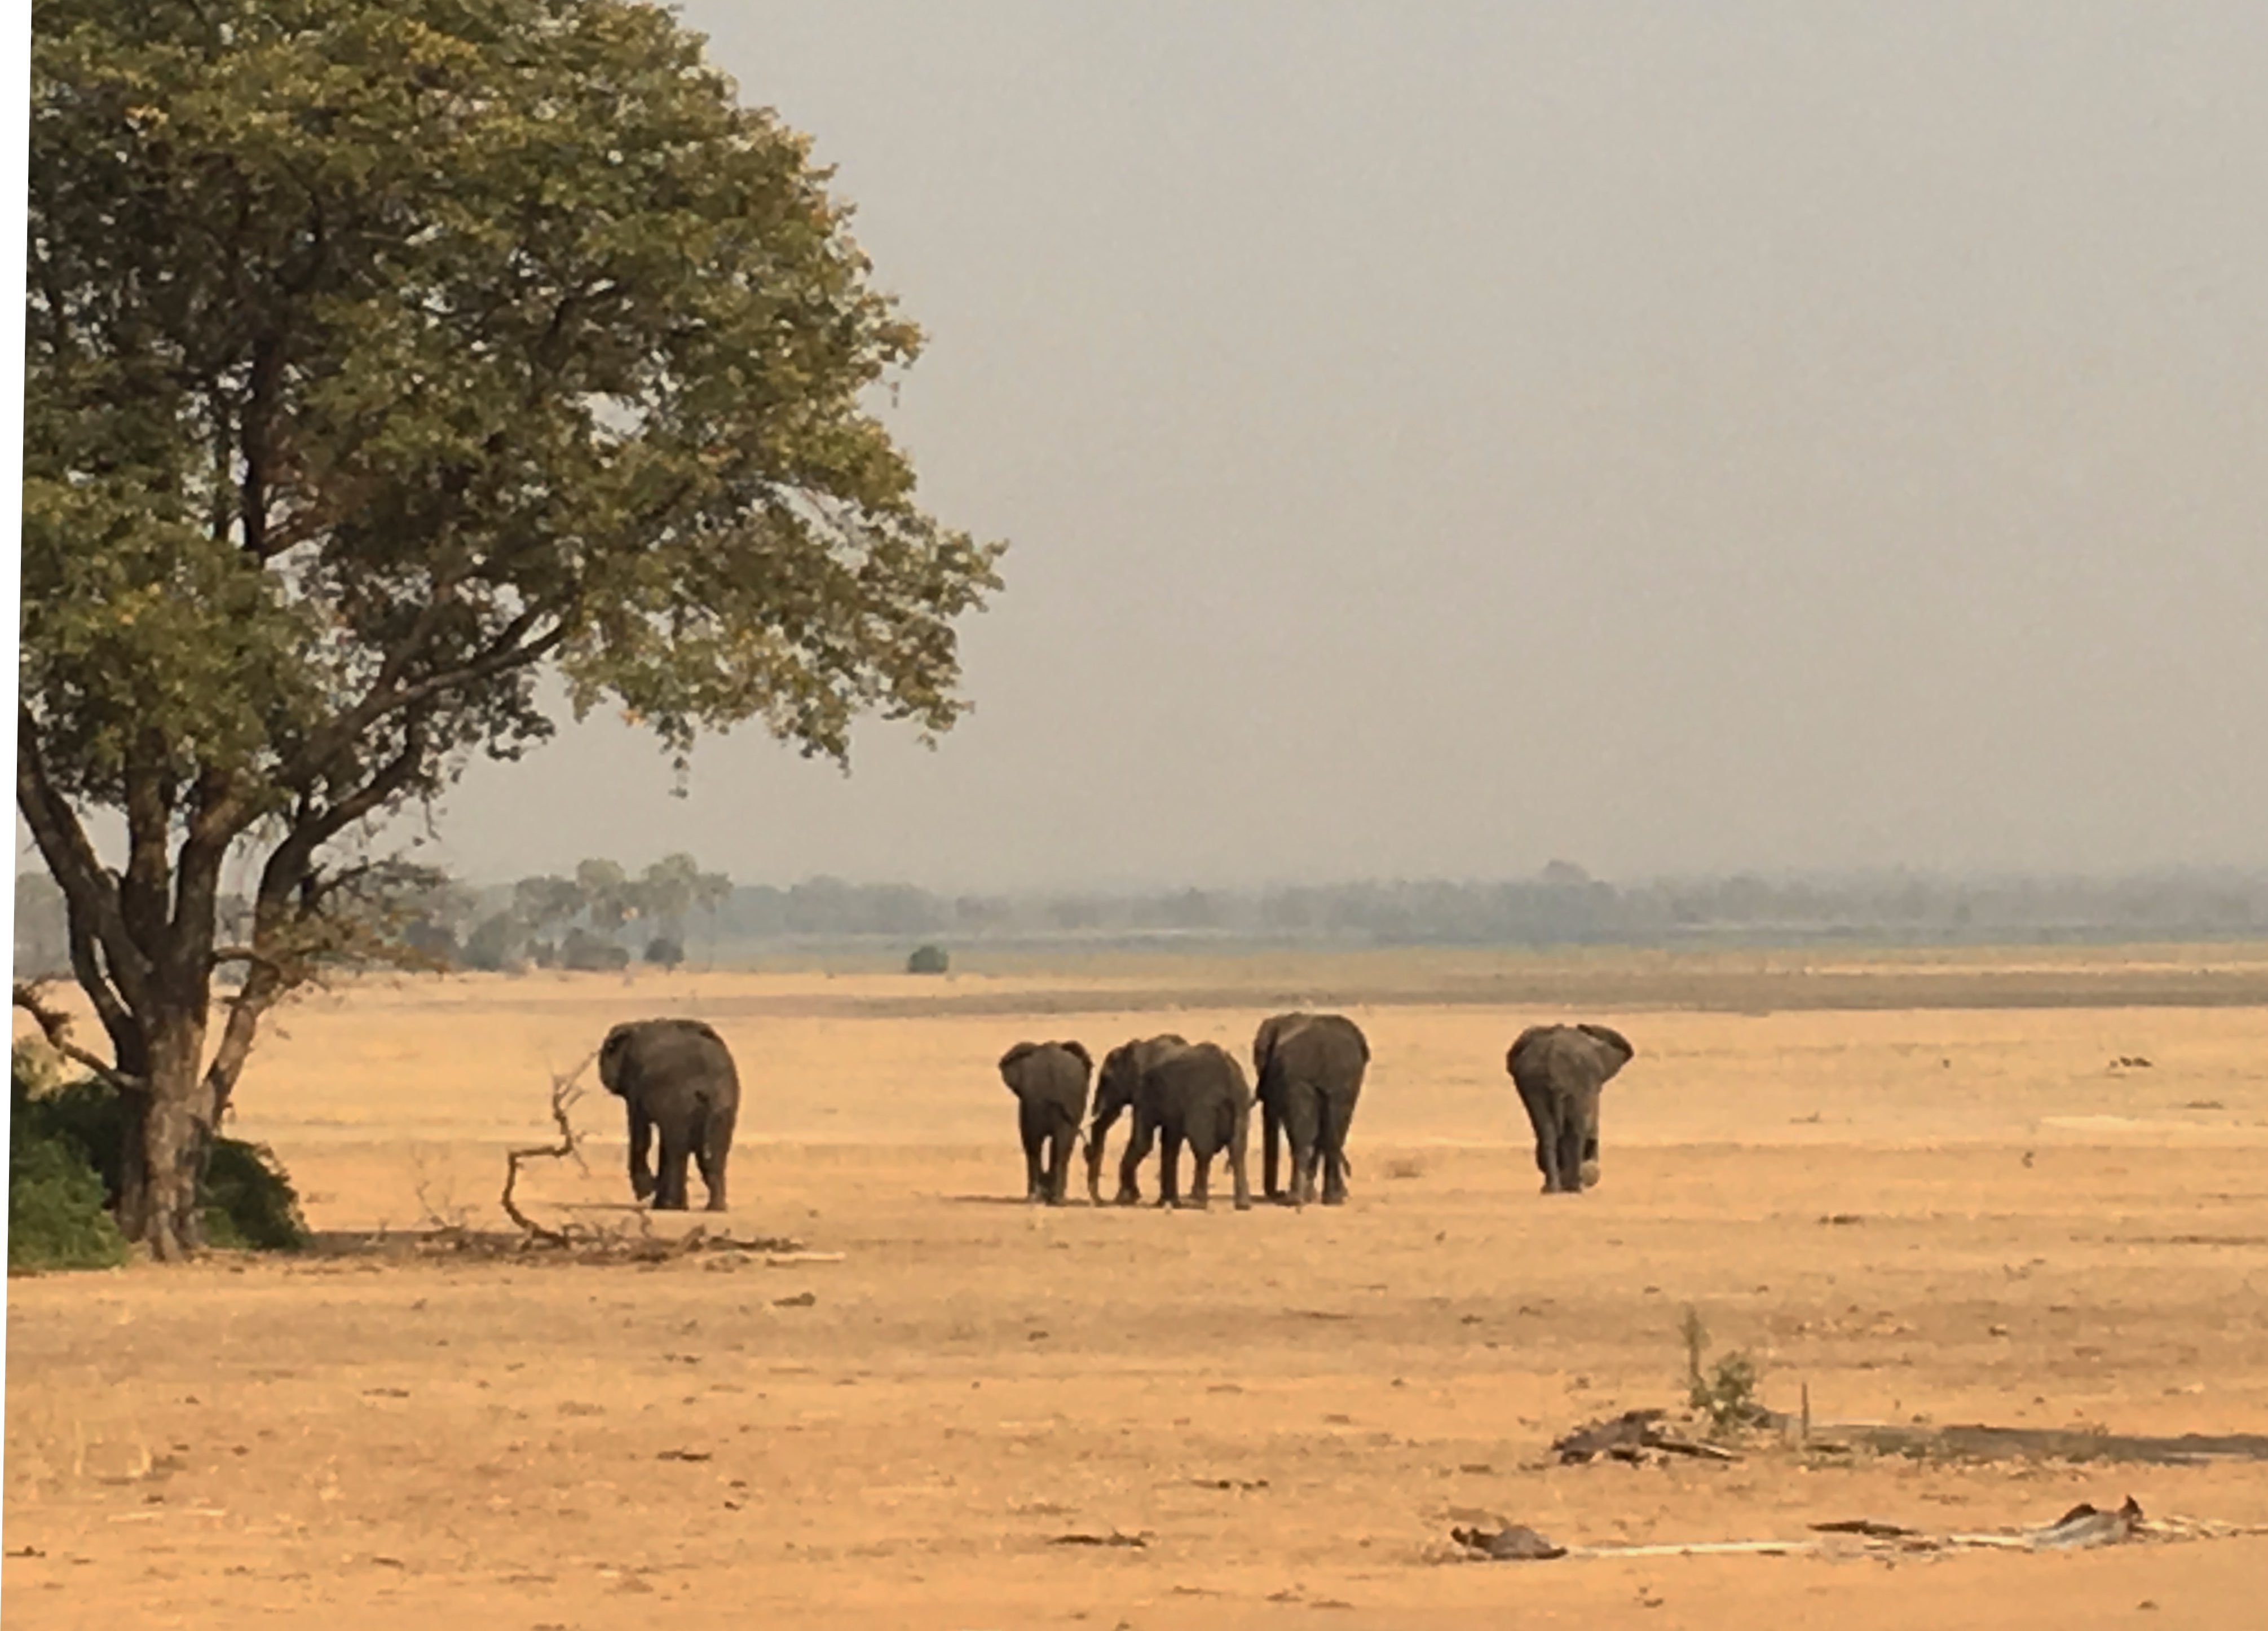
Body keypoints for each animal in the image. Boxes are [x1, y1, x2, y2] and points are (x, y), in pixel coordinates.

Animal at [597, 1018, 741, 1211]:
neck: (637, 1025)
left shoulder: (636, 1086)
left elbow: (640, 1130)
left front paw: (646, 1192)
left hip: (682, 1101)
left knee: (677, 1150)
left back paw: (670, 1206)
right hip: (724, 1105)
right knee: (713, 1155)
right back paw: (714, 1208)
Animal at [1086, 1035, 1253, 1210]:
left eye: (1105, 1080)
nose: (1100, 1201)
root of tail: (1232, 1079)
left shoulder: (1144, 1095)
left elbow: (1142, 1143)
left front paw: (1124, 1200)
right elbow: (1170, 1144)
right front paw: (1167, 1202)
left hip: (1204, 1105)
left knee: (1203, 1148)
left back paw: (1197, 1203)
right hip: (1242, 1104)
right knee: (1238, 1149)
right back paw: (1243, 1205)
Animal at [1251, 1012, 1369, 1206]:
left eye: (1260, 1060)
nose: (1279, 1193)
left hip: (1309, 1081)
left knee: (1317, 1132)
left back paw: (1304, 1198)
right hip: (1300, 1079)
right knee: (1323, 1133)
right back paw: (1323, 1198)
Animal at [1505, 1022, 1635, 1195]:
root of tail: (1552, 1060)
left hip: (1533, 1083)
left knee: (1546, 1132)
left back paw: (1552, 1189)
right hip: (1575, 1082)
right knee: (1576, 1130)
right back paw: (1575, 1188)